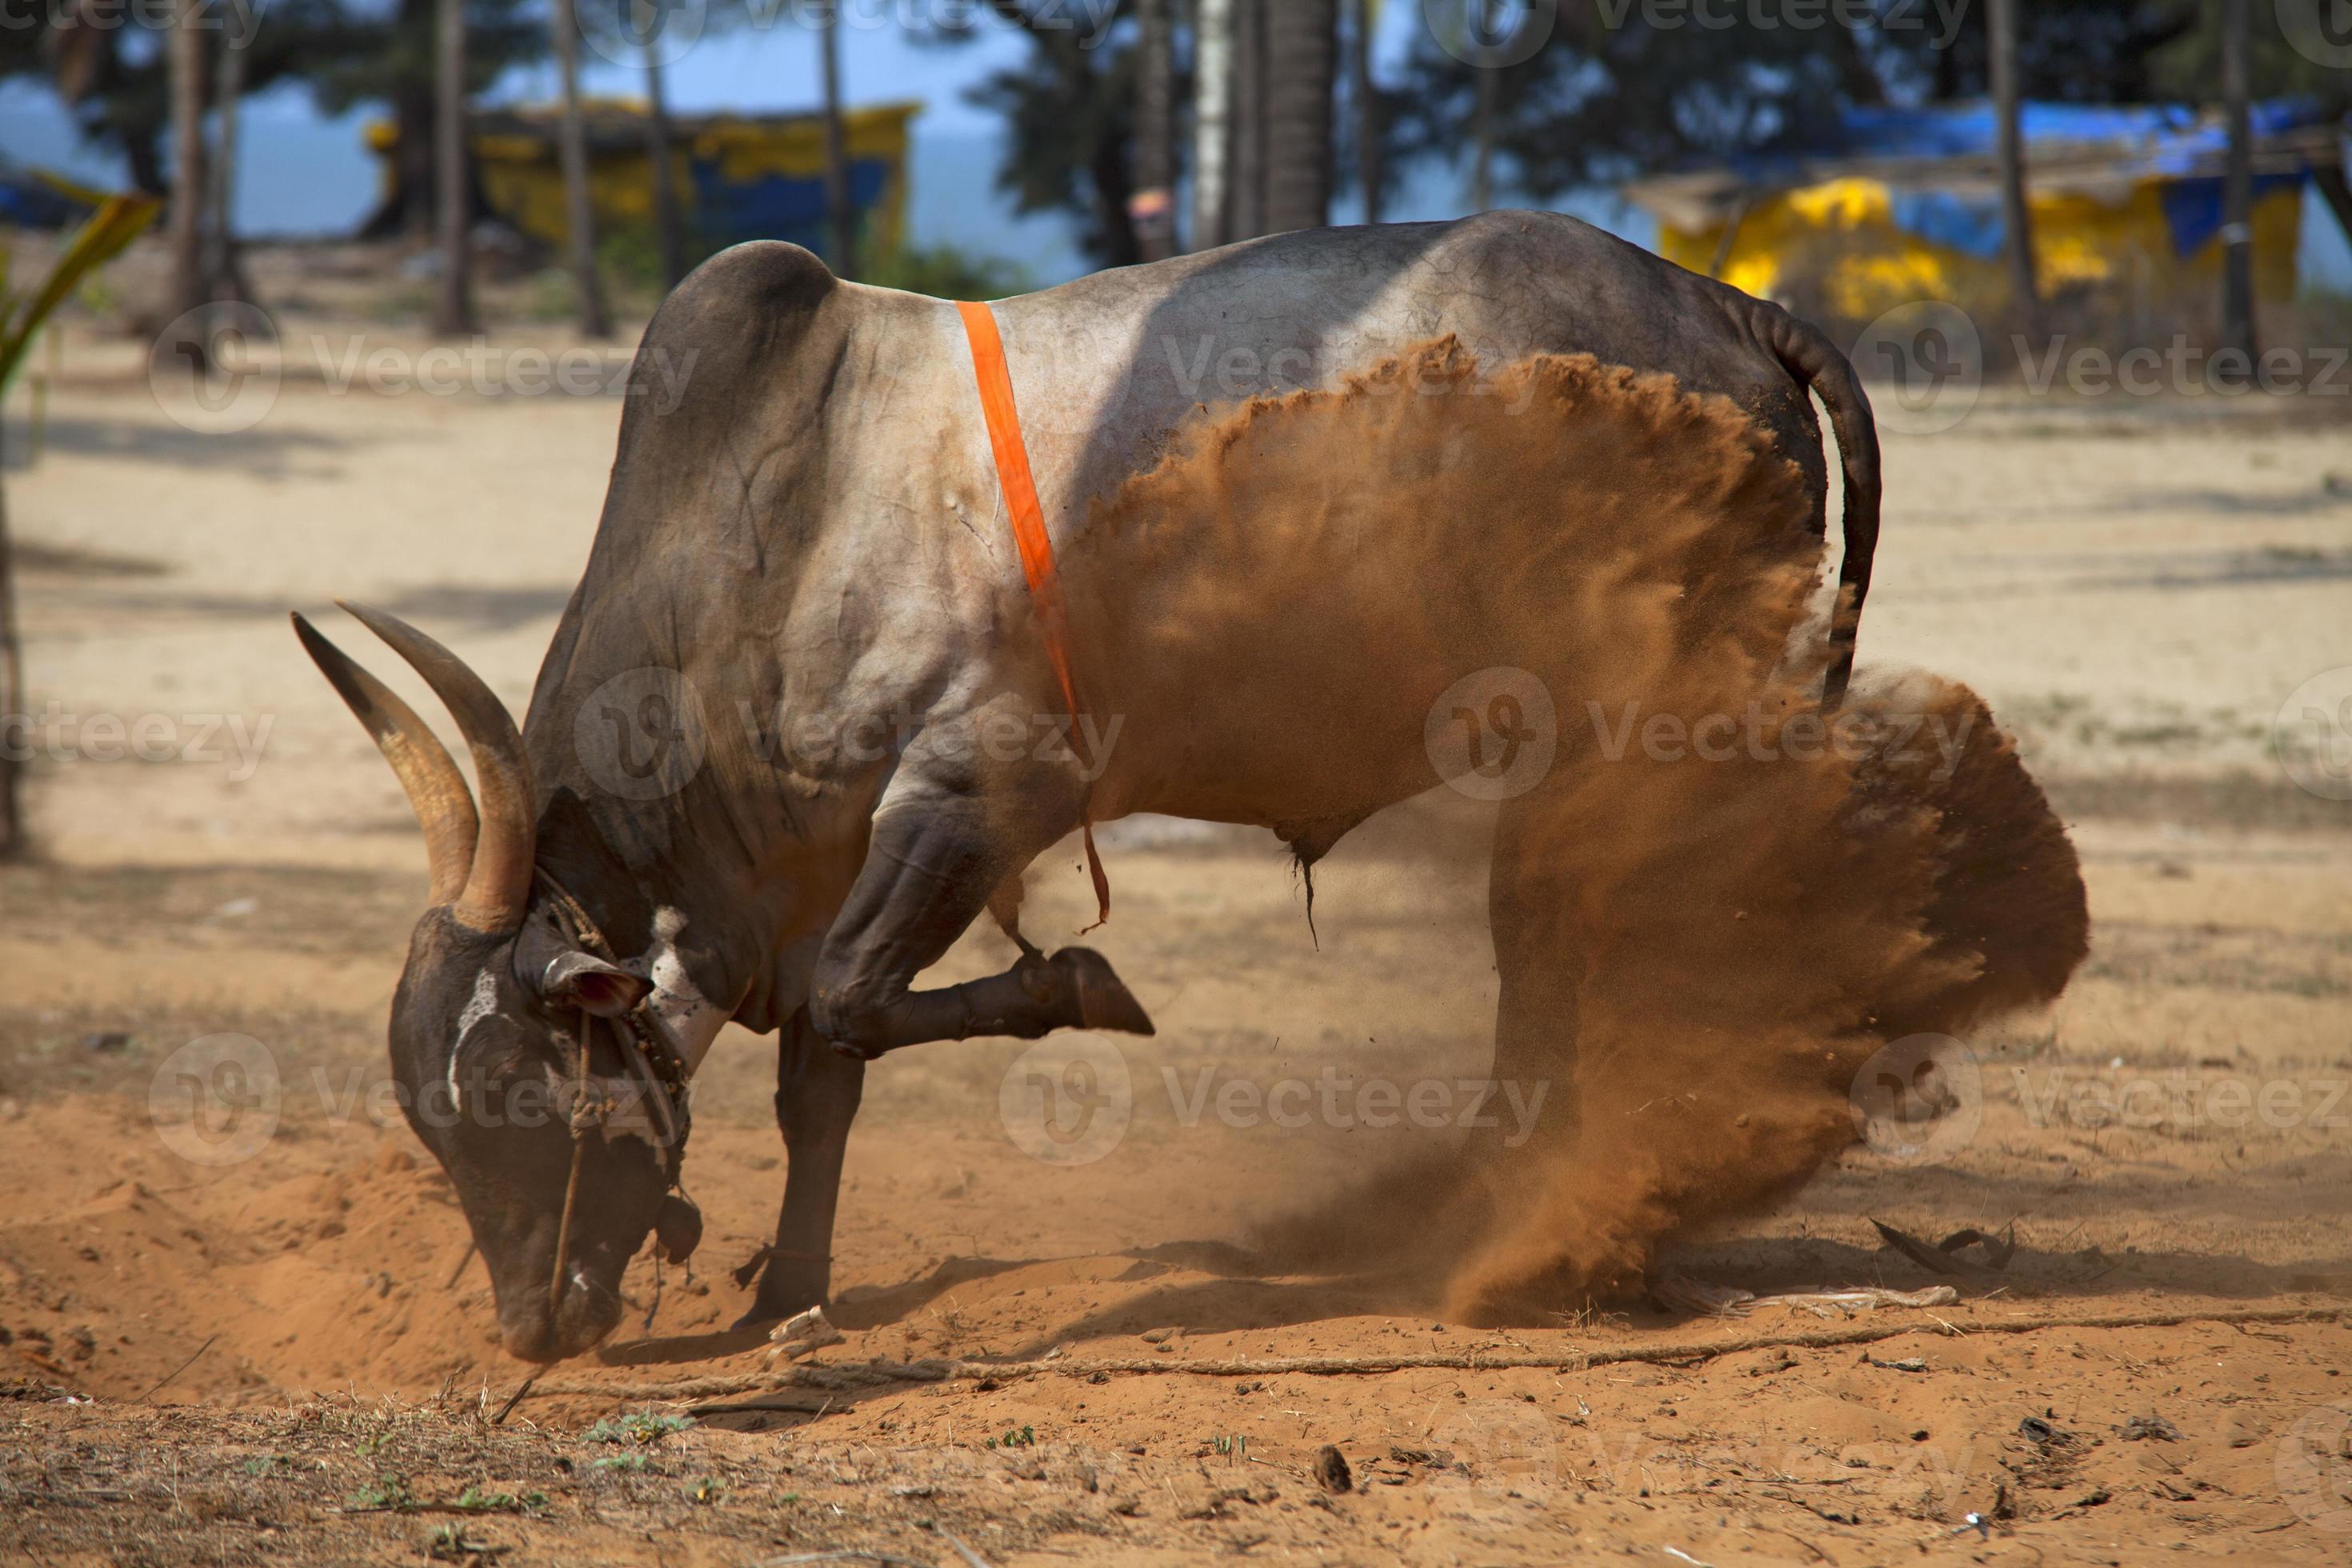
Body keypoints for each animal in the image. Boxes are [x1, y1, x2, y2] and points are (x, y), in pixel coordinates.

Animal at [294, 214, 1872, 1363]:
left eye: (515, 1084)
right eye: (434, 1120)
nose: (534, 1326)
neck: (766, 548)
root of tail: (1721, 304)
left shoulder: (980, 787)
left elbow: (853, 1005)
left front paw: (1086, 986)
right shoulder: (804, 871)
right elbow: (820, 1077)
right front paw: (791, 1291)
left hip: (1628, 719)